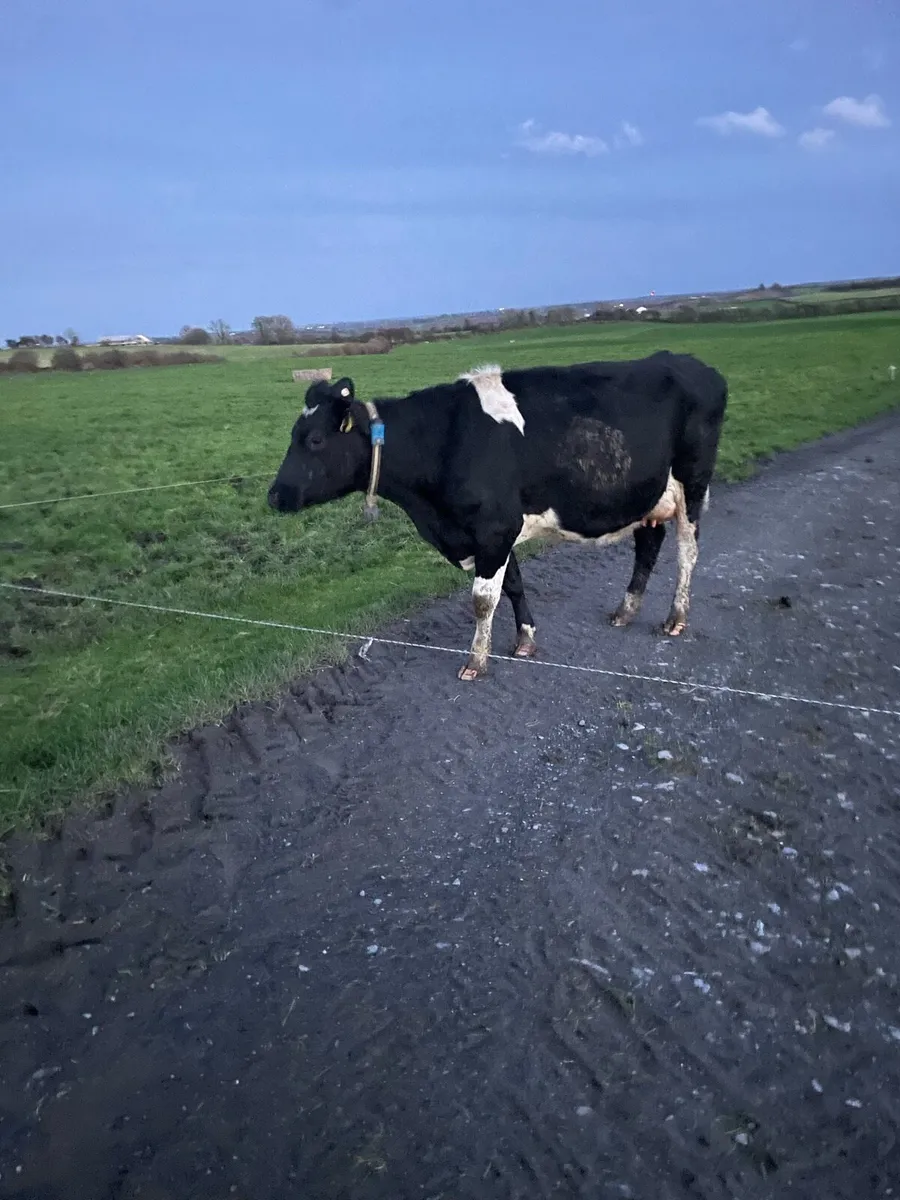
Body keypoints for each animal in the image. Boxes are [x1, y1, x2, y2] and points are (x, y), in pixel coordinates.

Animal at [267, 351, 728, 682]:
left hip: (693, 483)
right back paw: (626, 610)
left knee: (687, 551)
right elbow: (514, 586)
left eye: (314, 439)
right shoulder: (491, 531)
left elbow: (482, 598)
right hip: (648, 495)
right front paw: (524, 639)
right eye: (292, 435)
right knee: (648, 545)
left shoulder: (494, 528)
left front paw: (476, 661)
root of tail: (695, 364)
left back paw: (675, 618)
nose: (274, 496)